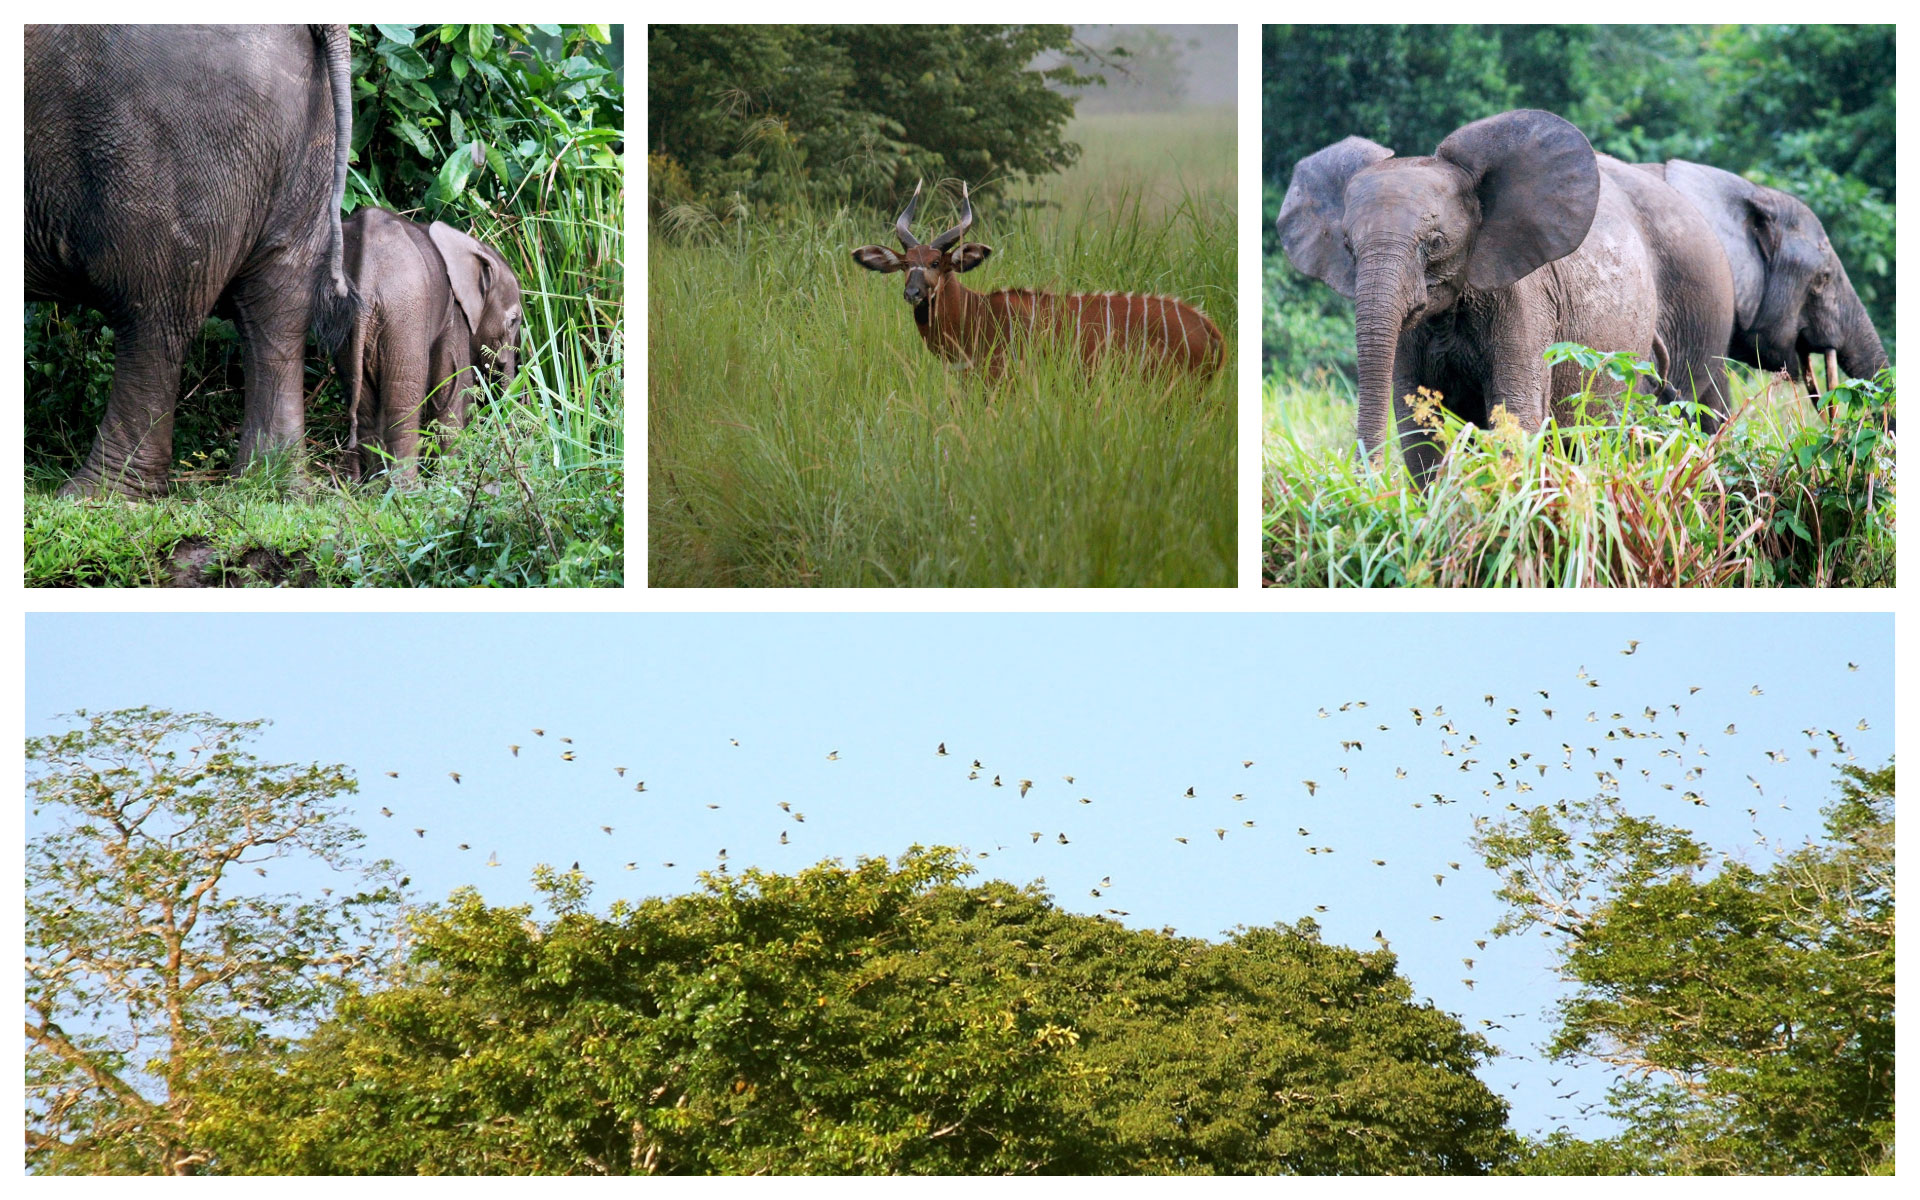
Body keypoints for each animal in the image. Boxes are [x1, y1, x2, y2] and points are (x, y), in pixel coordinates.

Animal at [23, 25, 353, 499]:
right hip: (306, 134)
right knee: (279, 305)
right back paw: (270, 484)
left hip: (171, 142)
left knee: (153, 311)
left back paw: (94, 495)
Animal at [1274, 104, 1743, 478]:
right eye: (1347, 247)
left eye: (1436, 242)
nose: (1359, 482)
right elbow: (1419, 428)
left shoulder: (1524, 300)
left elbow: (1514, 413)